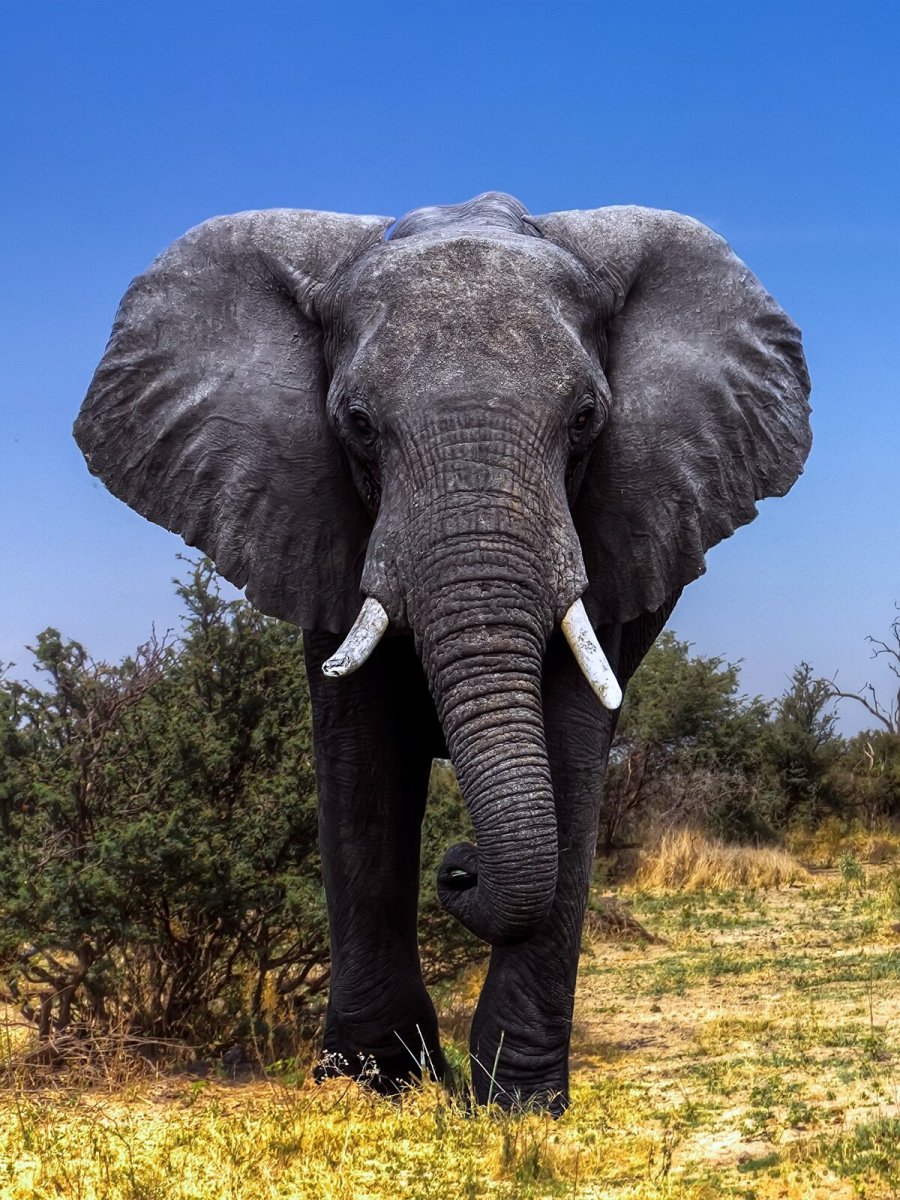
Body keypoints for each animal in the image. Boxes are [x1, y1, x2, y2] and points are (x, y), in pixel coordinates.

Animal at [74, 191, 810, 1112]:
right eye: (355, 424)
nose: (458, 869)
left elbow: (570, 752)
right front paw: (371, 1084)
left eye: (586, 419)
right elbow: (362, 763)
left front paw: (518, 1105)